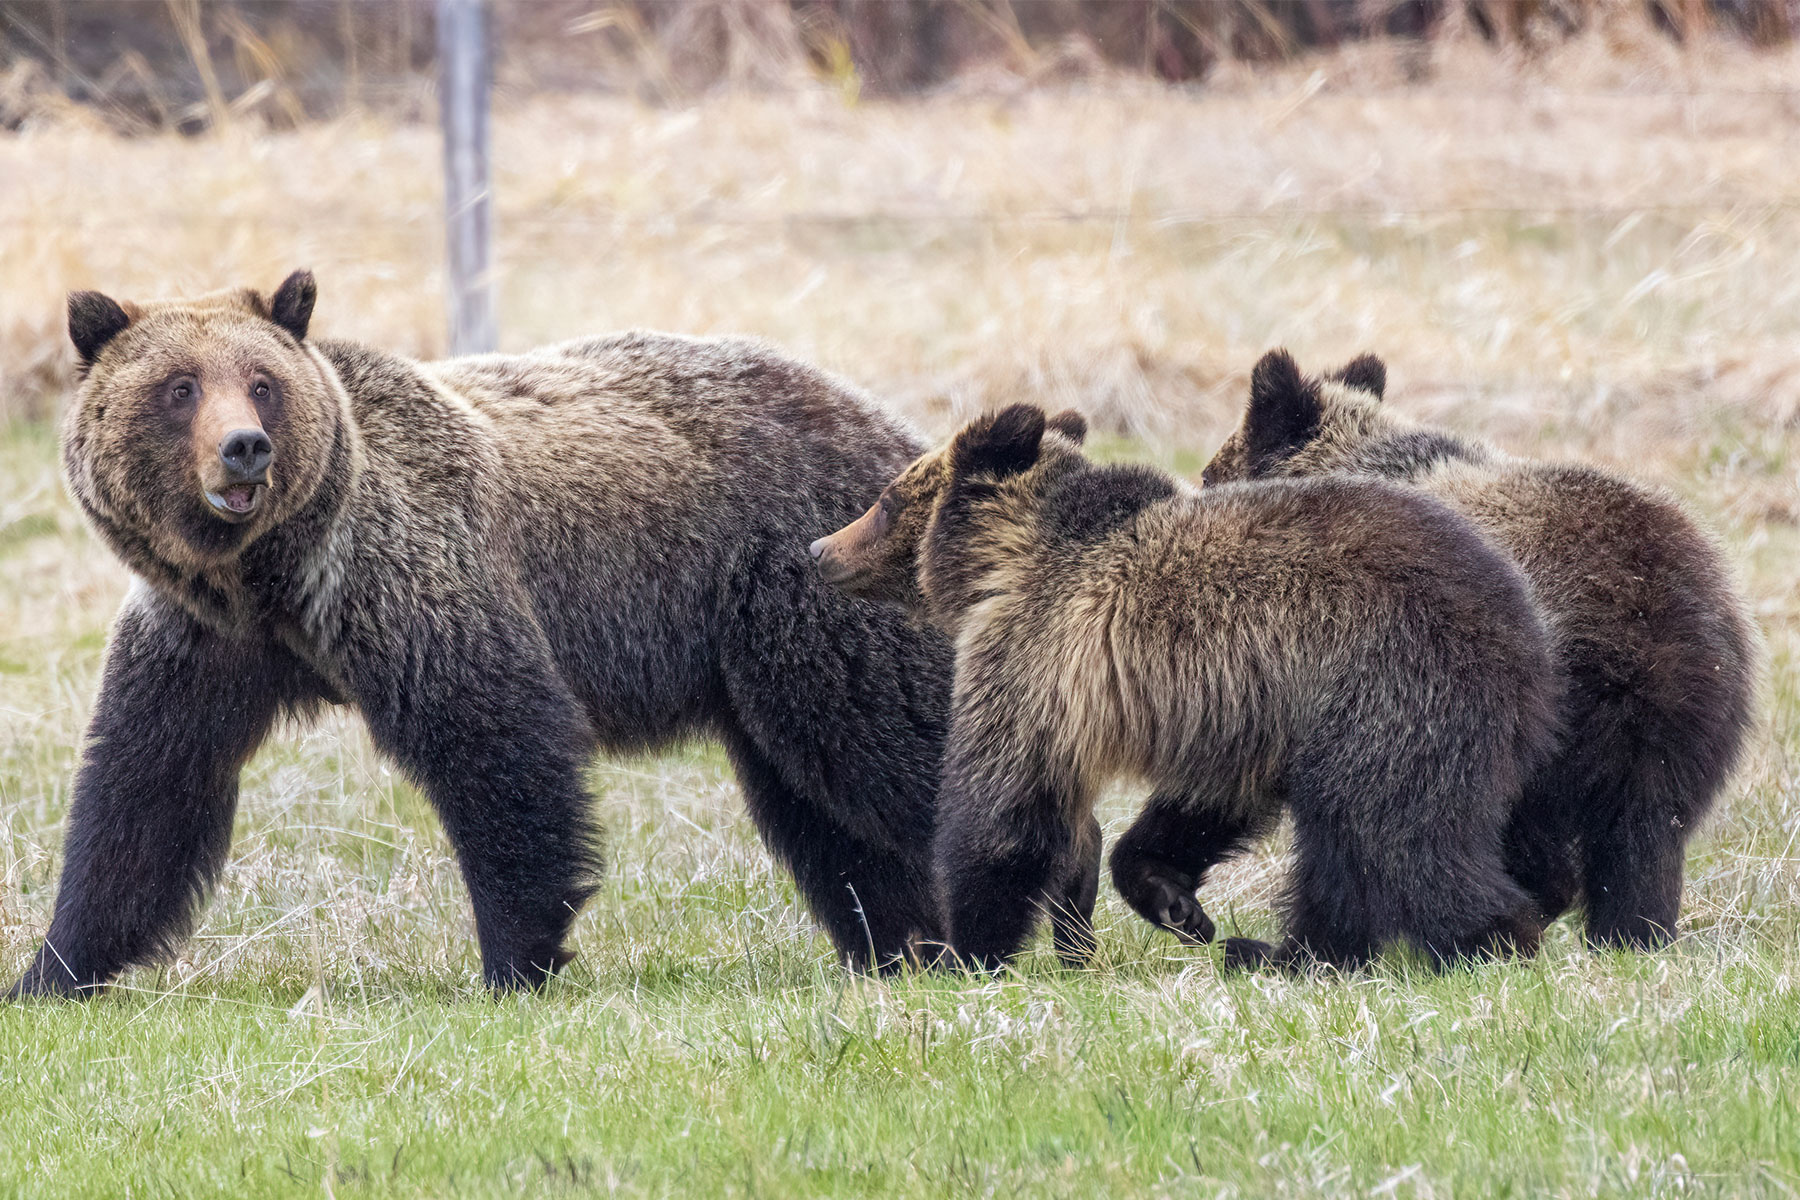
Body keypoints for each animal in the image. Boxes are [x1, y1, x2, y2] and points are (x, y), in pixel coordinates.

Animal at [9, 270, 954, 999]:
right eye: (179, 387)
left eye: (261, 381)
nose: (244, 447)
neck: (273, 579)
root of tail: (894, 429)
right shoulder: (201, 641)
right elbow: (144, 792)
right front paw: (52, 971)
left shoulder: (412, 583)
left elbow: (500, 744)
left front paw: (516, 960)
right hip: (759, 662)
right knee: (818, 807)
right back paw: (903, 948)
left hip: (803, 591)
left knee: (895, 740)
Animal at [808, 402, 1561, 972]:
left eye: (886, 500)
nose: (820, 549)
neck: (1008, 563)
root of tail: (1526, 636)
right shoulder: (1241, 708)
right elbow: (1205, 802)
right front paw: (1172, 900)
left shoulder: (1032, 656)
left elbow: (1003, 811)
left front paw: (965, 950)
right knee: (1345, 847)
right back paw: (1291, 951)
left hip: (1389, 690)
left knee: (1392, 832)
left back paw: (1481, 938)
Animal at [1203, 349, 1757, 948]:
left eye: (1209, 473)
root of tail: (1647, 624)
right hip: (1685, 724)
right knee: (1642, 842)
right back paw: (1630, 935)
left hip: (1524, 719)